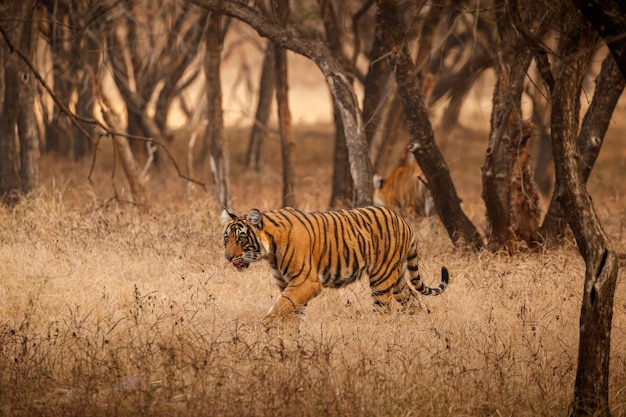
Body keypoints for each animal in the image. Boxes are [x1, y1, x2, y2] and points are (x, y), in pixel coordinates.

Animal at [222, 206, 446, 324]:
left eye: (241, 238)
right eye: (226, 238)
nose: (227, 258)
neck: (270, 252)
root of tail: (403, 221)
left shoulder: (307, 282)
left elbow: (281, 306)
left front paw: (265, 327)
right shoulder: (288, 284)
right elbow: (292, 310)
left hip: (381, 279)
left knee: (383, 311)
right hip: (397, 279)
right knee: (414, 301)